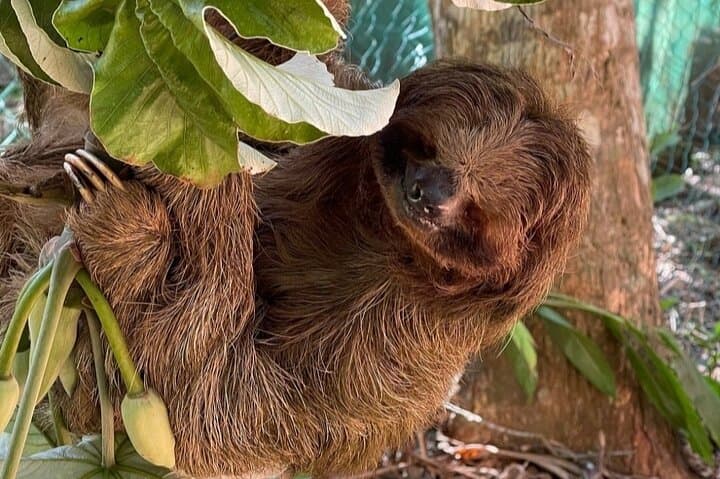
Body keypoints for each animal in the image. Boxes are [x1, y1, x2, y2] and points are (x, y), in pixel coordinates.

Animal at [29, 60, 592, 477]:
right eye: (426, 150)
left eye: (475, 209)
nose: (425, 195)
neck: (381, 234)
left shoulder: (398, 333)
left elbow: (228, 406)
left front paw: (136, 217)